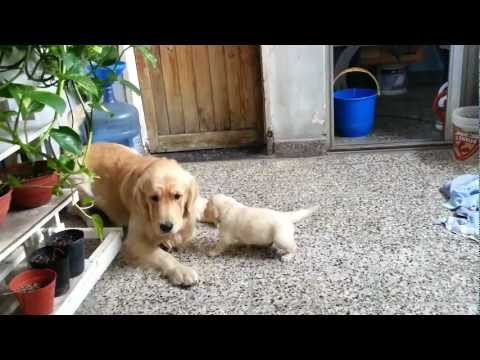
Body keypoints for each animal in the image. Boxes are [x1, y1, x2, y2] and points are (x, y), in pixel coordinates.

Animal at [83, 143, 200, 286]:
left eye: (177, 196)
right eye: (154, 197)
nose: (166, 227)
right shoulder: (134, 242)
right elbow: (163, 256)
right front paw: (181, 270)